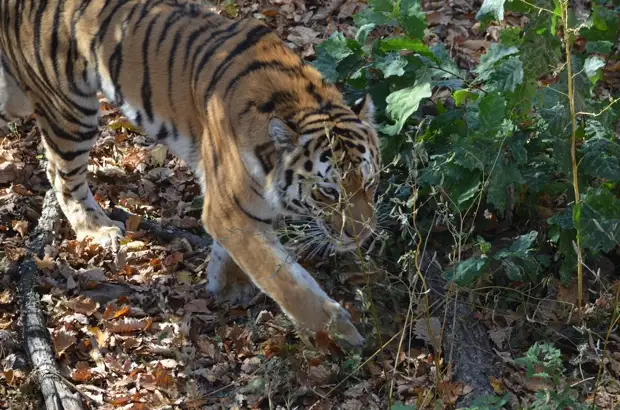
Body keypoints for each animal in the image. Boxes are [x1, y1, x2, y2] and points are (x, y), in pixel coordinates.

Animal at [0, 0, 378, 346]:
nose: (361, 236)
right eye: (328, 192)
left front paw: (226, 285)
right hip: (71, 110)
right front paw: (344, 333)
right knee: (62, 174)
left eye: (370, 183)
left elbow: (239, 254)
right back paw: (97, 228)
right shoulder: (230, 210)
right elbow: (287, 281)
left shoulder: (236, 207)